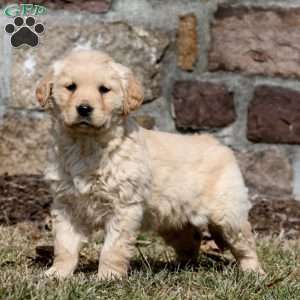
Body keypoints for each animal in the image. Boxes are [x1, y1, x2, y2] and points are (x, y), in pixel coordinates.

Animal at [35, 49, 264, 278]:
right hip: (173, 220)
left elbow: (112, 249)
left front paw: (108, 277)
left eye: (104, 90)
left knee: (245, 243)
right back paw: (181, 268)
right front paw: (57, 273)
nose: (84, 108)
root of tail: (215, 142)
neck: (86, 144)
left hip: (228, 214)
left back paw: (254, 272)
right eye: (71, 87)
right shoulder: (66, 205)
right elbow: (64, 245)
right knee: (191, 241)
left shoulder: (123, 207)